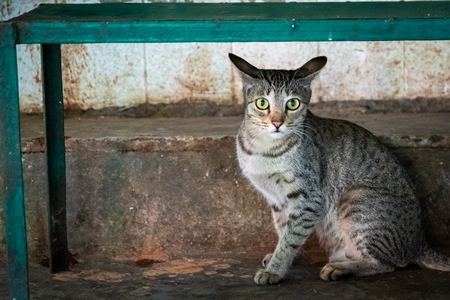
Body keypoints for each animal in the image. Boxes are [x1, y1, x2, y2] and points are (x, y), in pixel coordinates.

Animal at [229, 52, 450, 284]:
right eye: (262, 103)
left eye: (293, 103)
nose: (277, 123)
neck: (263, 148)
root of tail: (420, 242)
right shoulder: (276, 199)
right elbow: (283, 229)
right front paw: (281, 258)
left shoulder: (310, 198)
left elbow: (291, 236)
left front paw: (275, 269)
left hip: (355, 198)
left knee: (389, 264)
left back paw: (341, 268)